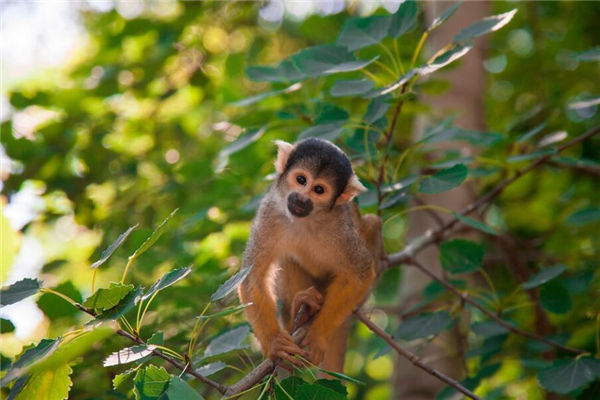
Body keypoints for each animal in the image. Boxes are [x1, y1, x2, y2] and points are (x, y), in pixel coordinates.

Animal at [237, 138, 382, 372]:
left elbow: (360, 272)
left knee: (372, 223)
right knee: (287, 259)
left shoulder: (340, 227)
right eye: (301, 180)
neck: (306, 220)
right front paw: (274, 344)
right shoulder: (270, 211)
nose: (301, 199)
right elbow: (252, 277)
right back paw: (299, 308)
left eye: (319, 189)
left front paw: (317, 336)